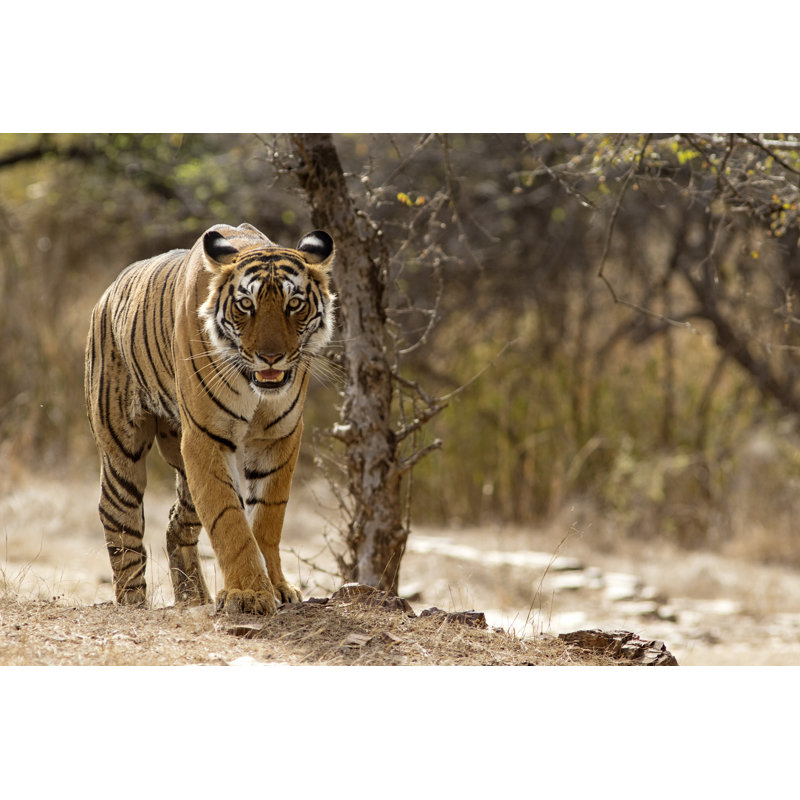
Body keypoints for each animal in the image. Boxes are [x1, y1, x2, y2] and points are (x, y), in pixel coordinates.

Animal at [84, 222, 335, 615]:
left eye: (294, 304)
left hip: (183, 470)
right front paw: (248, 593)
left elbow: (267, 518)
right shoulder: (206, 437)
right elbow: (228, 518)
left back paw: (193, 597)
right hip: (121, 450)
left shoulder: (279, 436)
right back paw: (133, 603)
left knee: (177, 525)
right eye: (246, 305)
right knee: (119, 519)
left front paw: (277, 587)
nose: (271, 357)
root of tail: (108, 292)